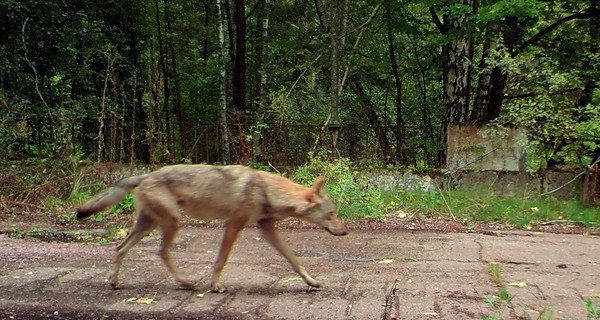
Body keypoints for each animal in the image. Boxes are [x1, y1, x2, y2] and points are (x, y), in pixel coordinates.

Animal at [76, 165, 346, 292]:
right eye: (332, 214)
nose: (345, 232)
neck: (267, 190)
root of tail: (145, 176)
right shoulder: (234, 224)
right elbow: (220, 261)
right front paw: (215, 286)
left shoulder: (266, 228)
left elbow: (294, 260)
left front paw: (311, 282)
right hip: (171, 223)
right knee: (161, 252)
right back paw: (186, 282)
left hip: (148, 225)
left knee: (120, 249)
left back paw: (115, 281)